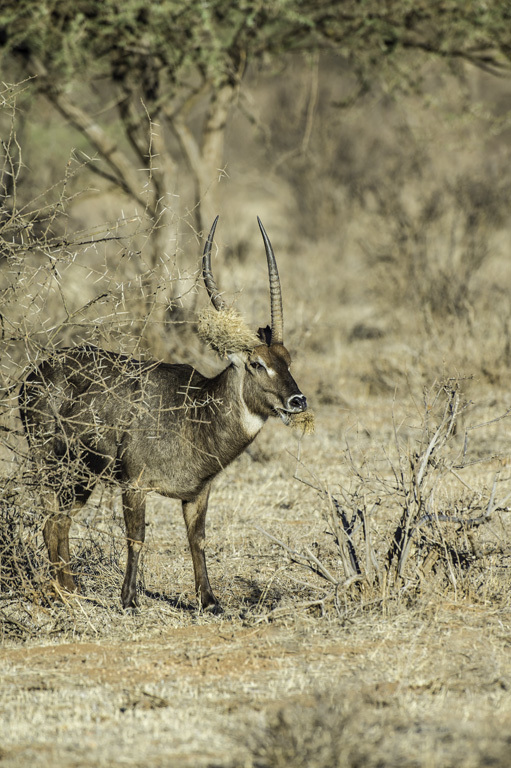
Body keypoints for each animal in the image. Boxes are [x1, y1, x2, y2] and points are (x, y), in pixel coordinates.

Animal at [20, 218, 308, 612]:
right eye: (257, 364)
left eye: (288, 358)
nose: (298, 400)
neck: (197, 413)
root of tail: (32, 375)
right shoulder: (134, 484)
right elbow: (136, 537)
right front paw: (129, 600)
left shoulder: (198, 493)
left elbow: (197, 539)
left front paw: (209, 601)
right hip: (56, 466)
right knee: (52, 520)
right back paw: (63, 595)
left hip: (80, 478)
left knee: (58, 522)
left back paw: (70, 593)